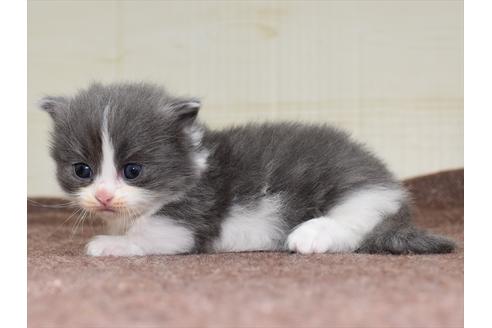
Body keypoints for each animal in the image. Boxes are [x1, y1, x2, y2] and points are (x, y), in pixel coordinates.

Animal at [39, 82, 458, 256]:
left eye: (133, 171)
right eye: (82, 170)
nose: (103, 196)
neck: (193, 164)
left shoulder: (189, 215)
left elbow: (151, 237)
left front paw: (111, 244)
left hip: (357, 190)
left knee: (359, 223)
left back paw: (312, 235)